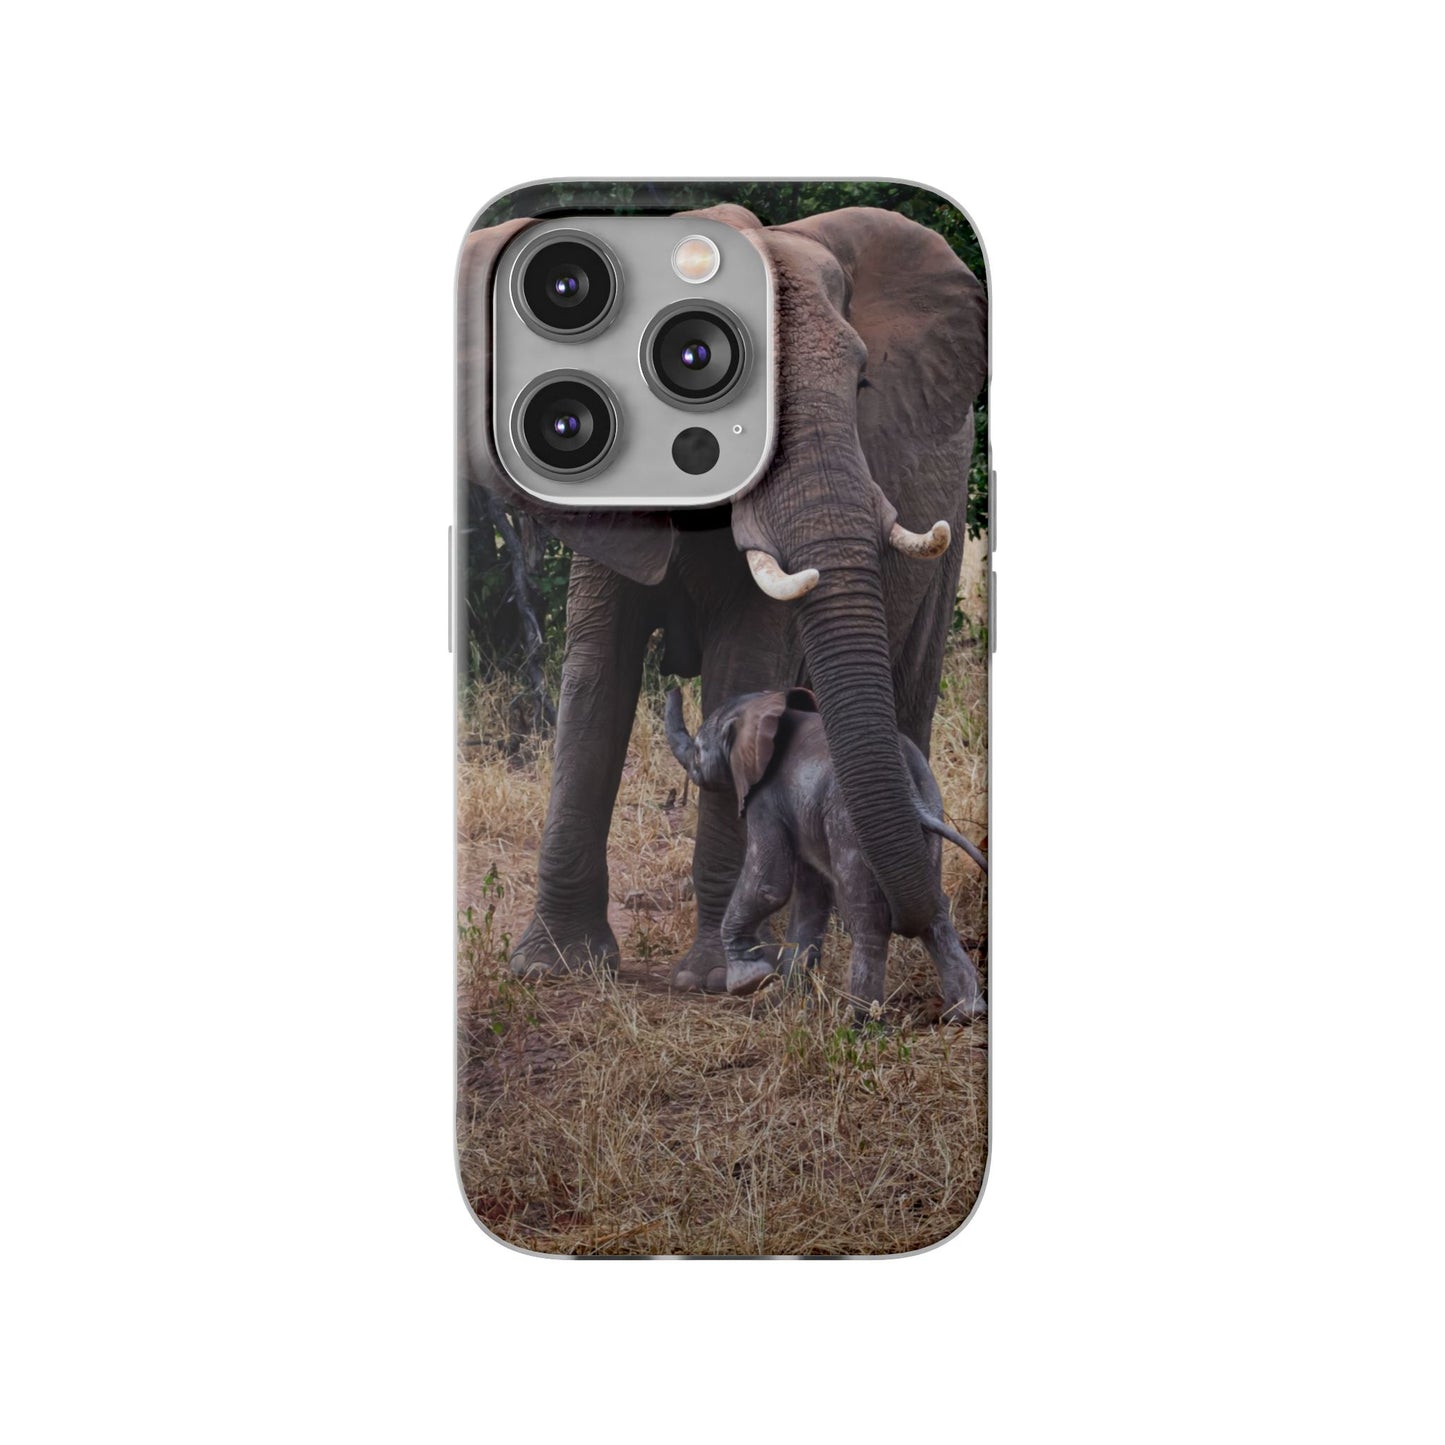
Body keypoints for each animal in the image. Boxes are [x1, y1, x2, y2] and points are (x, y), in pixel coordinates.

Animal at [663, 685, 987, 1018]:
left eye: (698, 750)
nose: (672, 688)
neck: (767, 707)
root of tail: (908, 781)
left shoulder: (765, 798)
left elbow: (769, 886)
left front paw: (748, 980)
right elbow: (811, 896)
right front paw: (791, 1004)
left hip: (847, 821)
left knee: (867, 914)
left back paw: (862, 1019)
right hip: (931, 805)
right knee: (935, 907)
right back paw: (966, 1012)